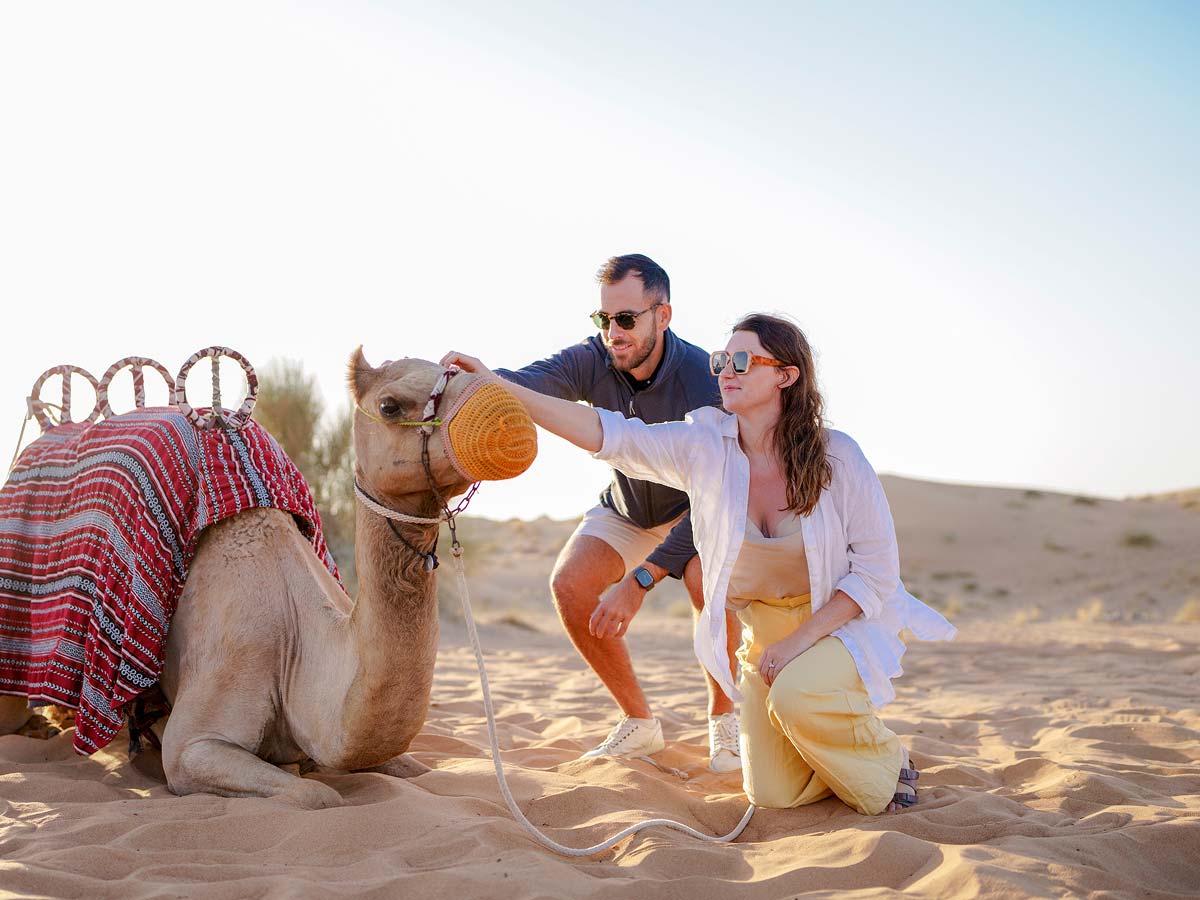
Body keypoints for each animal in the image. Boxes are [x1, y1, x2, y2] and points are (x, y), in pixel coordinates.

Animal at [0, 350, 536, 808]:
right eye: (389, 405)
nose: (510, 420)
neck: (298, 642)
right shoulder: (196, 741)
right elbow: (315, 795)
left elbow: (417, 770)